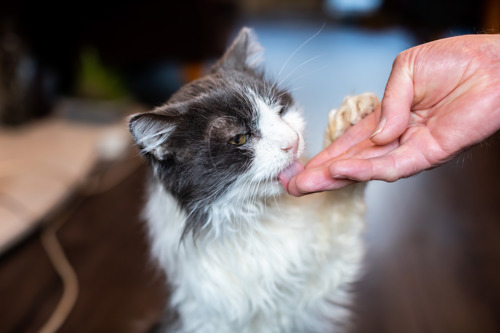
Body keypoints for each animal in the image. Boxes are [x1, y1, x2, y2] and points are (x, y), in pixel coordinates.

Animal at [129, 26, 378, 332]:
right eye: (239, 139)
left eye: (281, 110)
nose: (293, 142)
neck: (255, 215)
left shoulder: (318, 282)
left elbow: (341, 208)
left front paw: (352, 118)